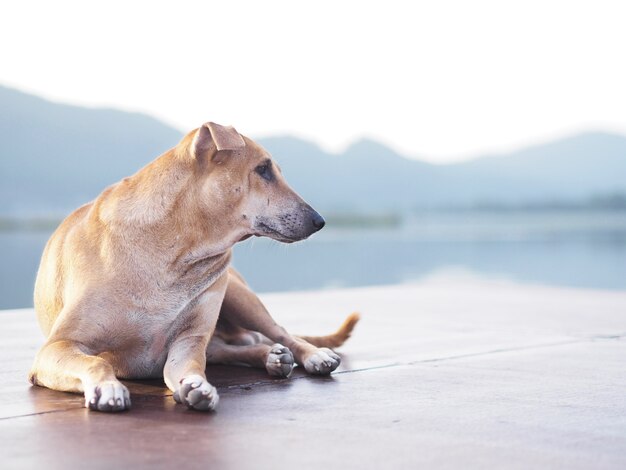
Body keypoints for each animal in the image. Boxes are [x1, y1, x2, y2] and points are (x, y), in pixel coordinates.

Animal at [29, 122, 358, 412]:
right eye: (263, 169)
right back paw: (271, 357)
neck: (176, 251)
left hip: (238, 296)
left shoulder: (187, 344)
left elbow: (190, 366)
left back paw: (310, 355)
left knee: (279, 332)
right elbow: (96, 360)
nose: (319, 221)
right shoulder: (57, 346)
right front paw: (107, 386)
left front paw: (197, 387)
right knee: (231, 348)